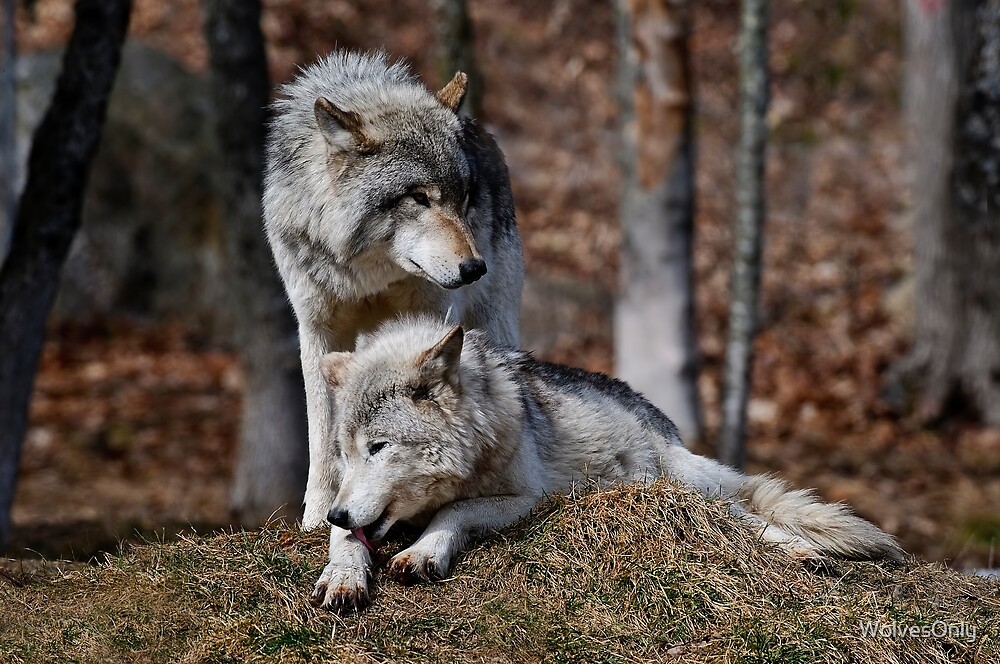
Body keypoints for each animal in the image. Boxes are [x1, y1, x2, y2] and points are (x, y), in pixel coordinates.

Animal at [262, 52, 523, 532]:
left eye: (464, 198)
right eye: (418, 197)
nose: (474, 268)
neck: (367, 272)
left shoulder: (434, 316)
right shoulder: (317, 329)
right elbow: (322, 432)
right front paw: (317, 516)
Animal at [309, 315, 903, 611]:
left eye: (379, 448)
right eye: (347, 451)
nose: (337, 512)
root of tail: (663, 421)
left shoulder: (525, 499)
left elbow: (450, 514)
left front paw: (421, 552)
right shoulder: (350, 507)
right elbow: (347, 543)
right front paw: (343, 576)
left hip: (685, 484)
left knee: (748, 517)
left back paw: (804, 551)